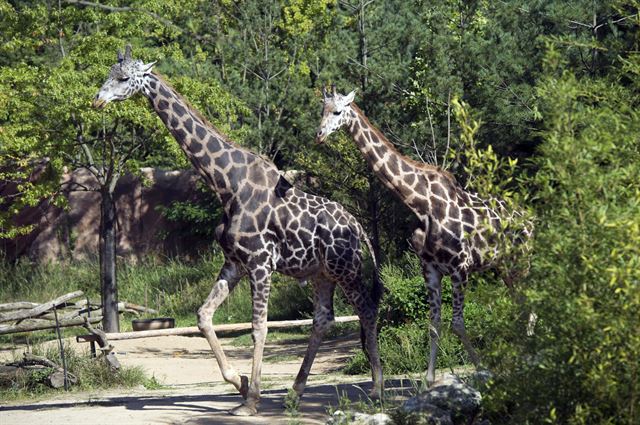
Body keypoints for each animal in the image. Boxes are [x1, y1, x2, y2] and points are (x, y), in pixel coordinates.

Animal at [92, 46, 382, 414]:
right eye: (108, 73)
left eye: (124, 78)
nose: (97, 100)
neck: (226, 184)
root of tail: (358, 226)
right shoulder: (234, 263)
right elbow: (203, 316)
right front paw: (240, 383)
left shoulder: (260, 264)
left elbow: (259, 328)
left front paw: (252, 399)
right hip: (322, 274)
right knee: (323, 319)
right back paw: (294, 393)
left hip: (346, 269)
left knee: (366, 310)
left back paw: (377, 388)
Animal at [314, 86, 528, 384]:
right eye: (320, 111)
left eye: (337, 112)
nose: (319, 135)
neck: (421, 203)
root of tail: (530, 219)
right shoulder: (430, 269)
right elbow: (434, 325)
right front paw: (429, 380)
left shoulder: (460, 267)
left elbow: (457, 324)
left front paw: (483, 369)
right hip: (506, 267)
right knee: (522, 306)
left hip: (522, 261)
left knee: (531, 304)